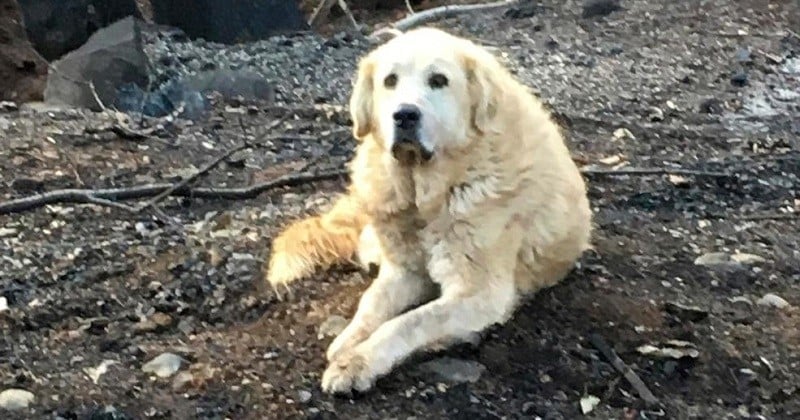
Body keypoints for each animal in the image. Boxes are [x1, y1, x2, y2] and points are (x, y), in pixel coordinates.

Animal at [262, 27, 592, 396]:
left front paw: (358, 362)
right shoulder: (404, 271)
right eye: (390, 80)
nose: (405, 115)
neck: (426, 193)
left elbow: (407, 322)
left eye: (438, 80)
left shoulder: (478, 293)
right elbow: (371, 303)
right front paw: (348, 341)